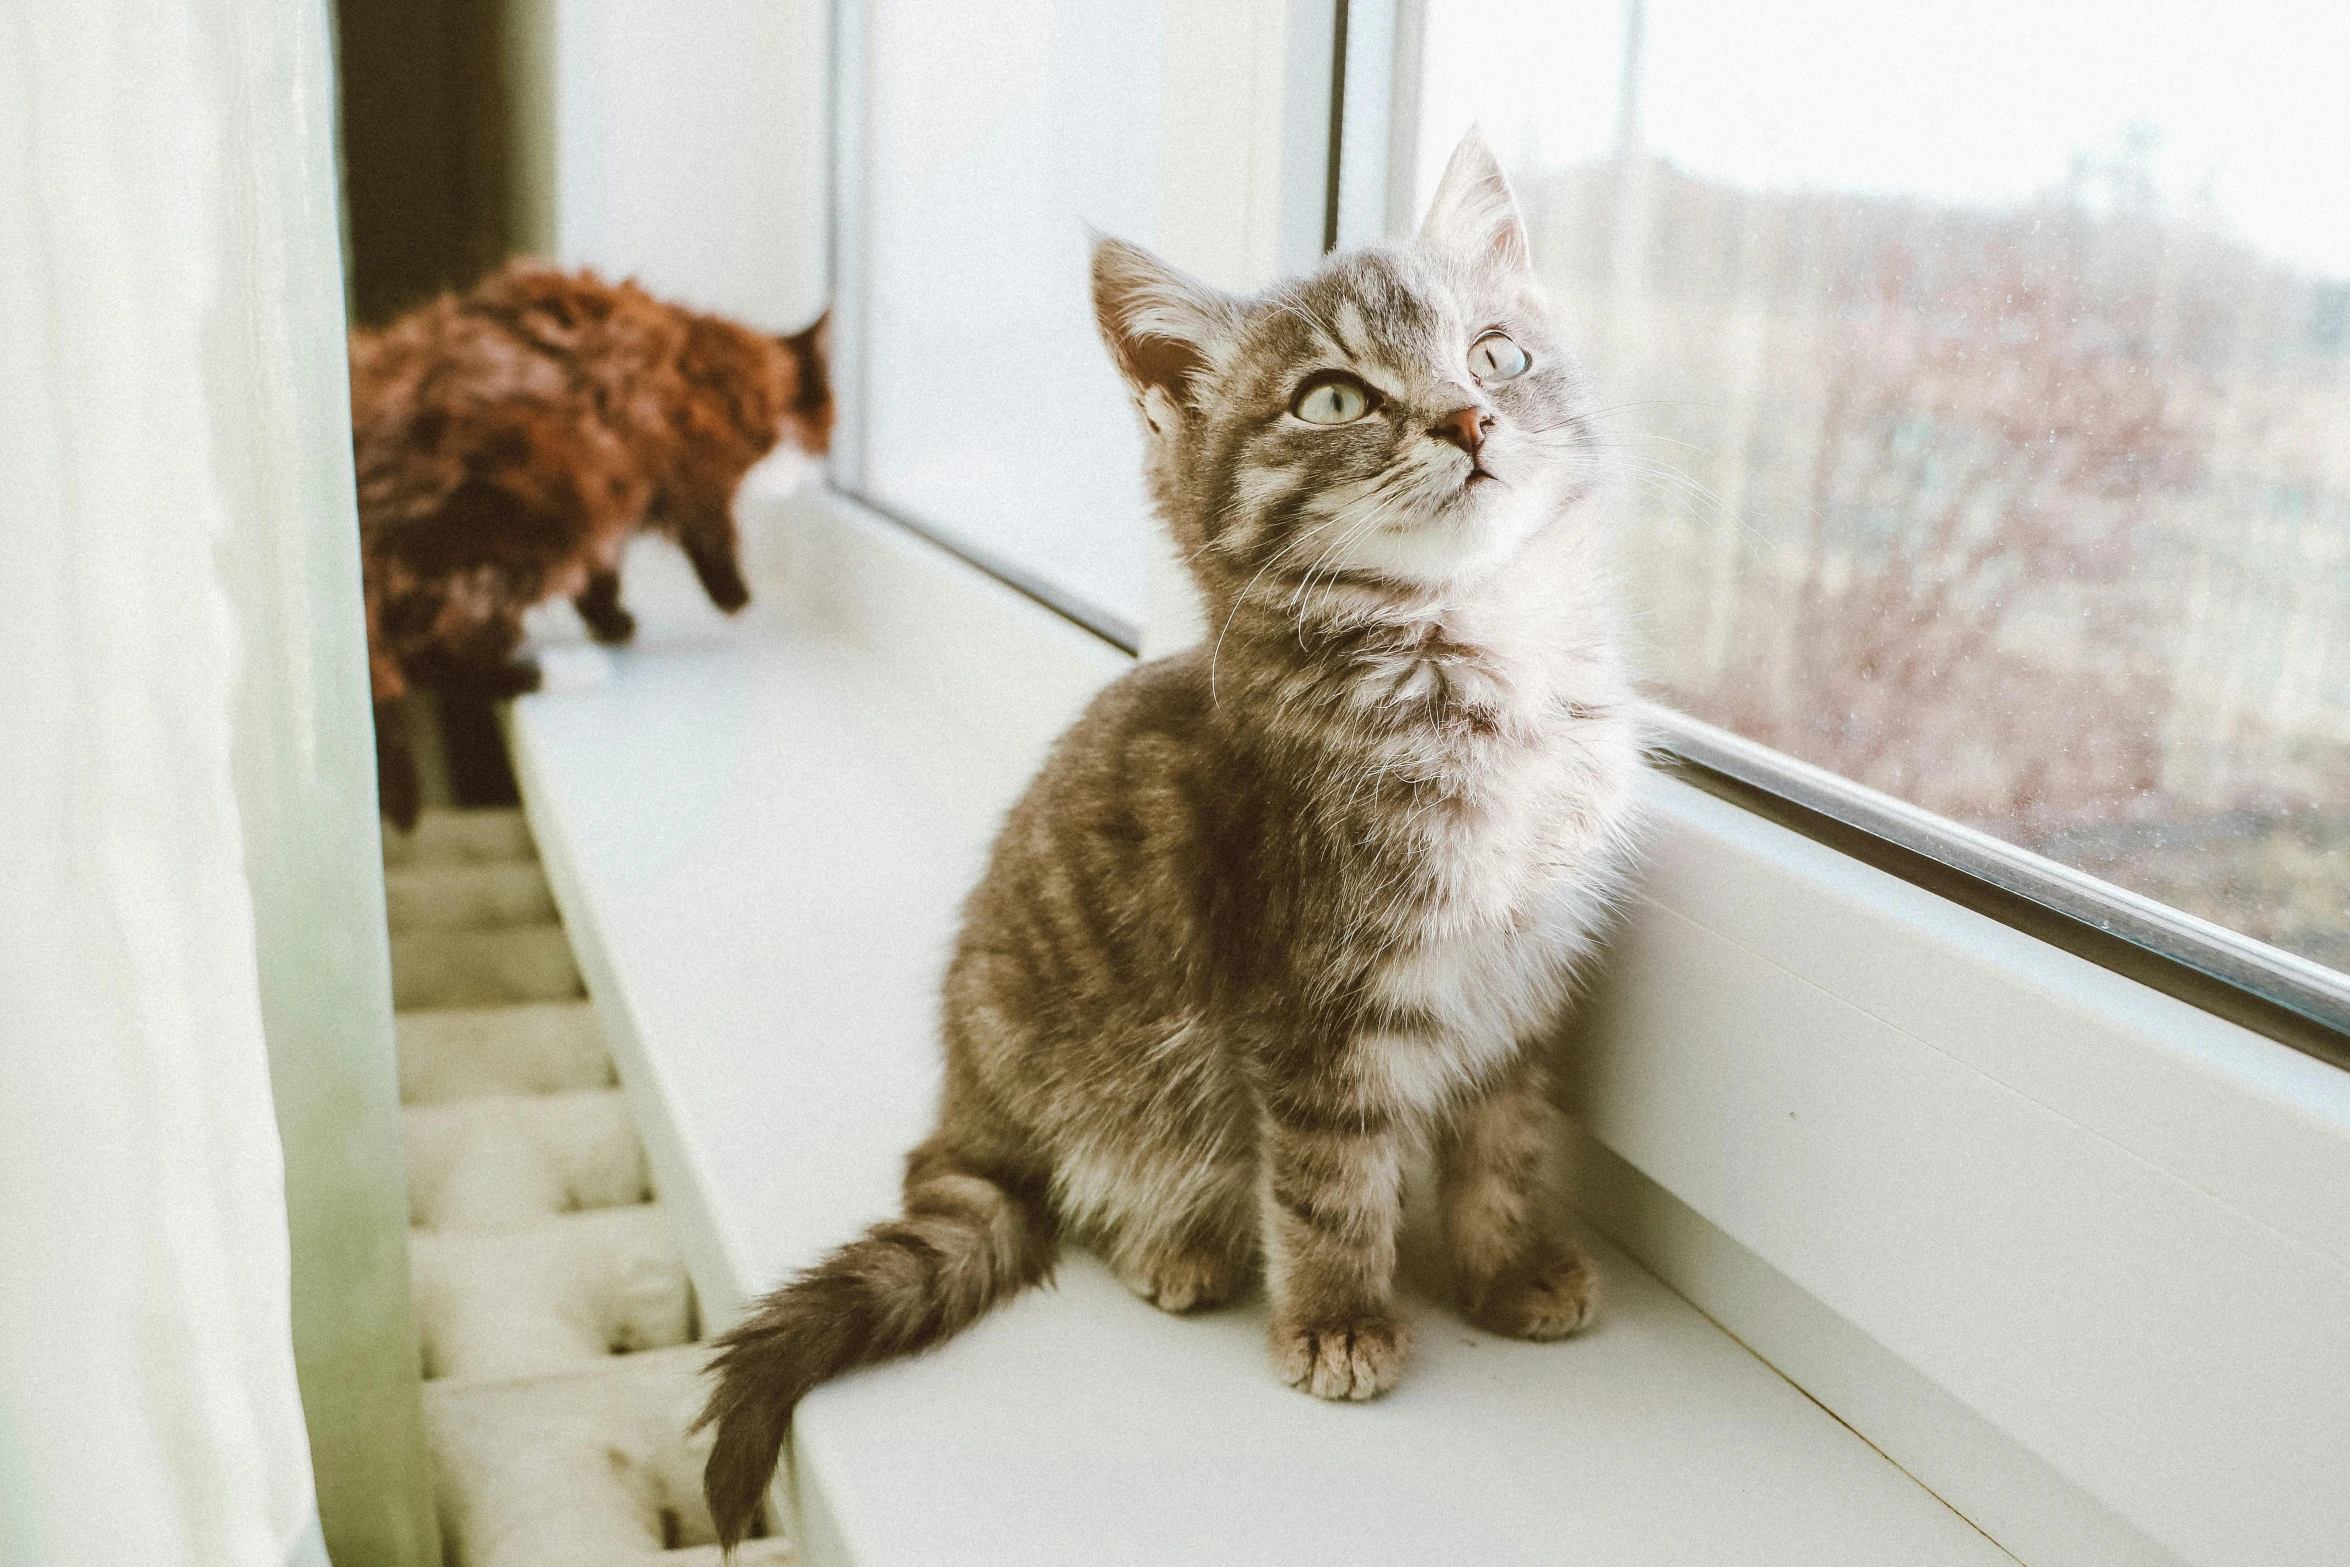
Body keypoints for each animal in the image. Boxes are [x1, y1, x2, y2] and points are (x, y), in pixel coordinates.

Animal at [695, 131, 1635, 1541]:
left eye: (1498, 356)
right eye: (1333, 399)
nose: (1469, 419)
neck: (1472, 664)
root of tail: (966, 1099)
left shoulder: (1522, 980)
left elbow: (1503, 1139)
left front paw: (1504, 1261)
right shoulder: (1307, 1000)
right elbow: (1327, 1180)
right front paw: (1339, 1317)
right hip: (1108, 1087)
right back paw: (1176, 1249)